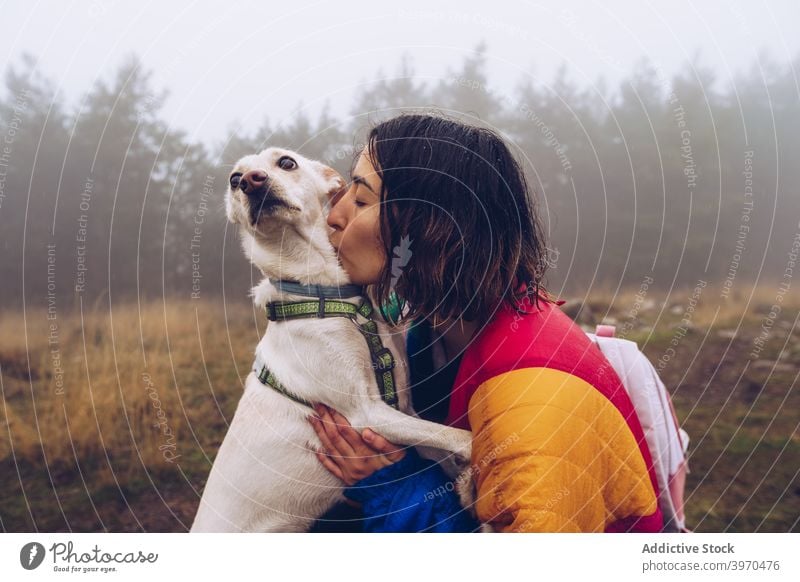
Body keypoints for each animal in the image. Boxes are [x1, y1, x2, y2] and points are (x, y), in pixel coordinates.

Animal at [189, 147, 476, 532]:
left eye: (286, 162)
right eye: (234, 180)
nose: (250, 181)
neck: (324, 292)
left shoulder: (404, 409)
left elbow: (439, 442)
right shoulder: (366, 414)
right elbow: (460, 437)